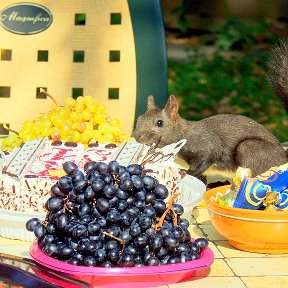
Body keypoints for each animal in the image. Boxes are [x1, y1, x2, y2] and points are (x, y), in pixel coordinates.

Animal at [133, 42, 288, 180]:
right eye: (139, 118)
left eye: (160, 123)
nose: (136, 136)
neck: (182, 133)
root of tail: (284, 159)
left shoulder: (206, 144)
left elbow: (207, 158)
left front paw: (187, 173)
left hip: (250, 148)